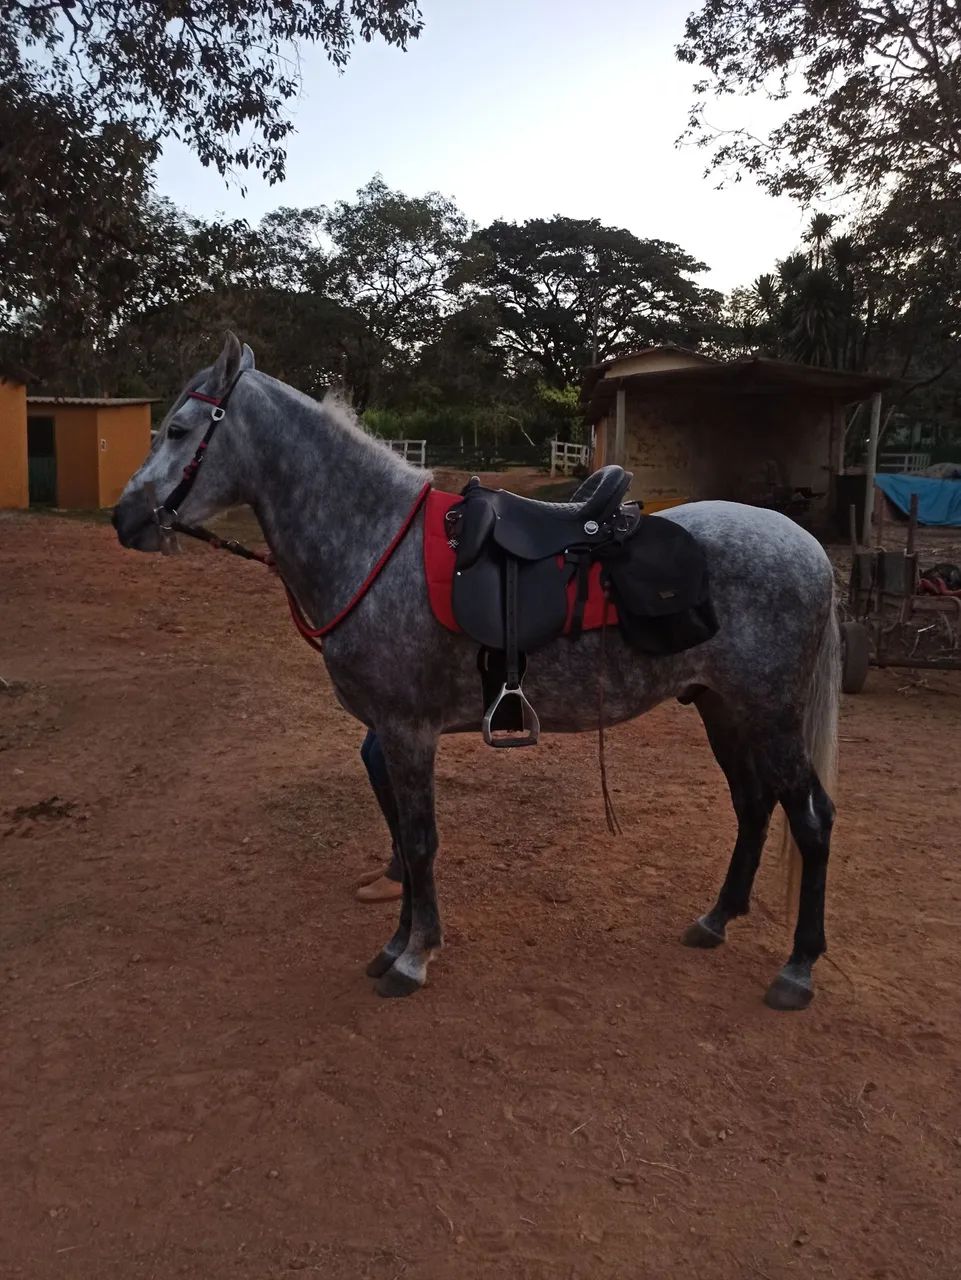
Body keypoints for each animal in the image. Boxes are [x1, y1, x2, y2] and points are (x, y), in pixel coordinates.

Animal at [113, 334, 839, 1011]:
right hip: (724, 708)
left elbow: (419, 841)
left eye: (178, 430)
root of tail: (808, 547)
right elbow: (403, 836)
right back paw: (716, 920)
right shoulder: (392, 733)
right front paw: (394, 944)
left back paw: (798, 967)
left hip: (770, 715)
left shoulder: (407, 731)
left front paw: (413, 957)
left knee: (811, 819)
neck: (376, 543)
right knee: (752, 804)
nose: (124, 518)